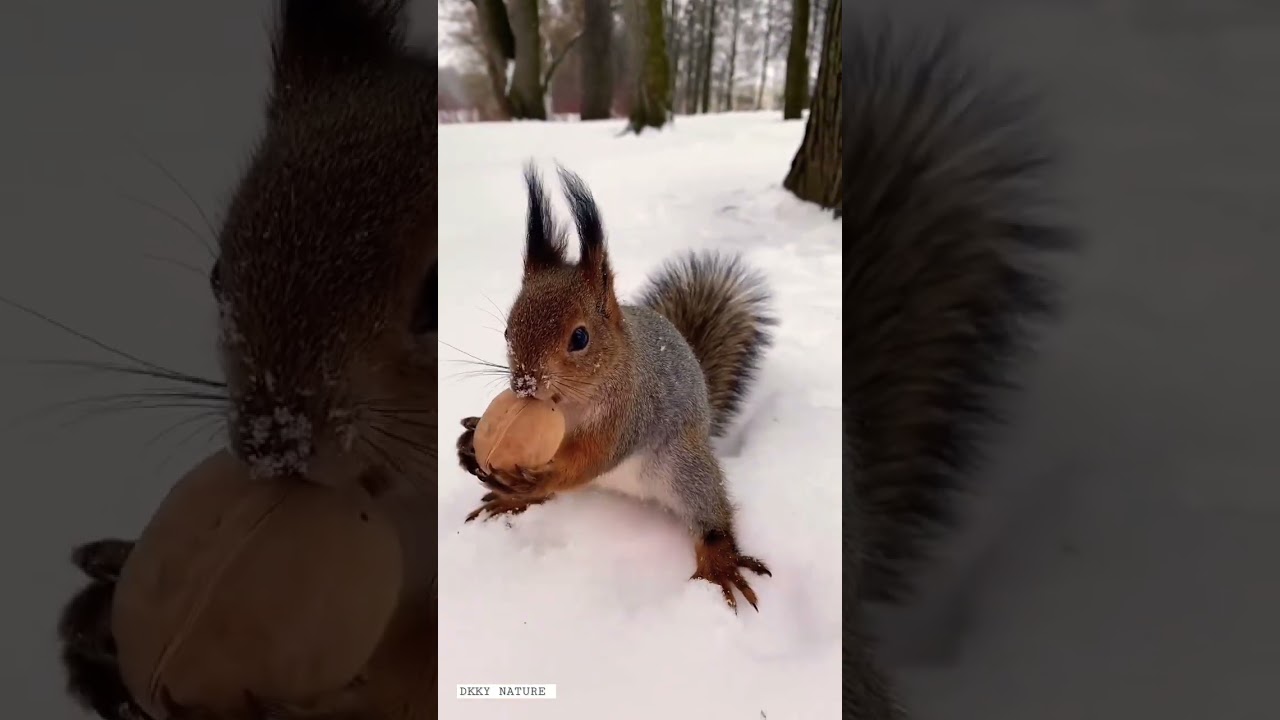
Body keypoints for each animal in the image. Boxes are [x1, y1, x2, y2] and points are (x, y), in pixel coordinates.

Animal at [455, 165, 776, 610]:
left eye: (580, 338)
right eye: (507, 330)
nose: (523, 383)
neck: (567, 405)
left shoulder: (629, 413)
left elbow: (591, 457)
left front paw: (535, 478)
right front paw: (470, 439)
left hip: (685, 467)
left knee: (709, 514)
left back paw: (719, 561)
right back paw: (511, 498)